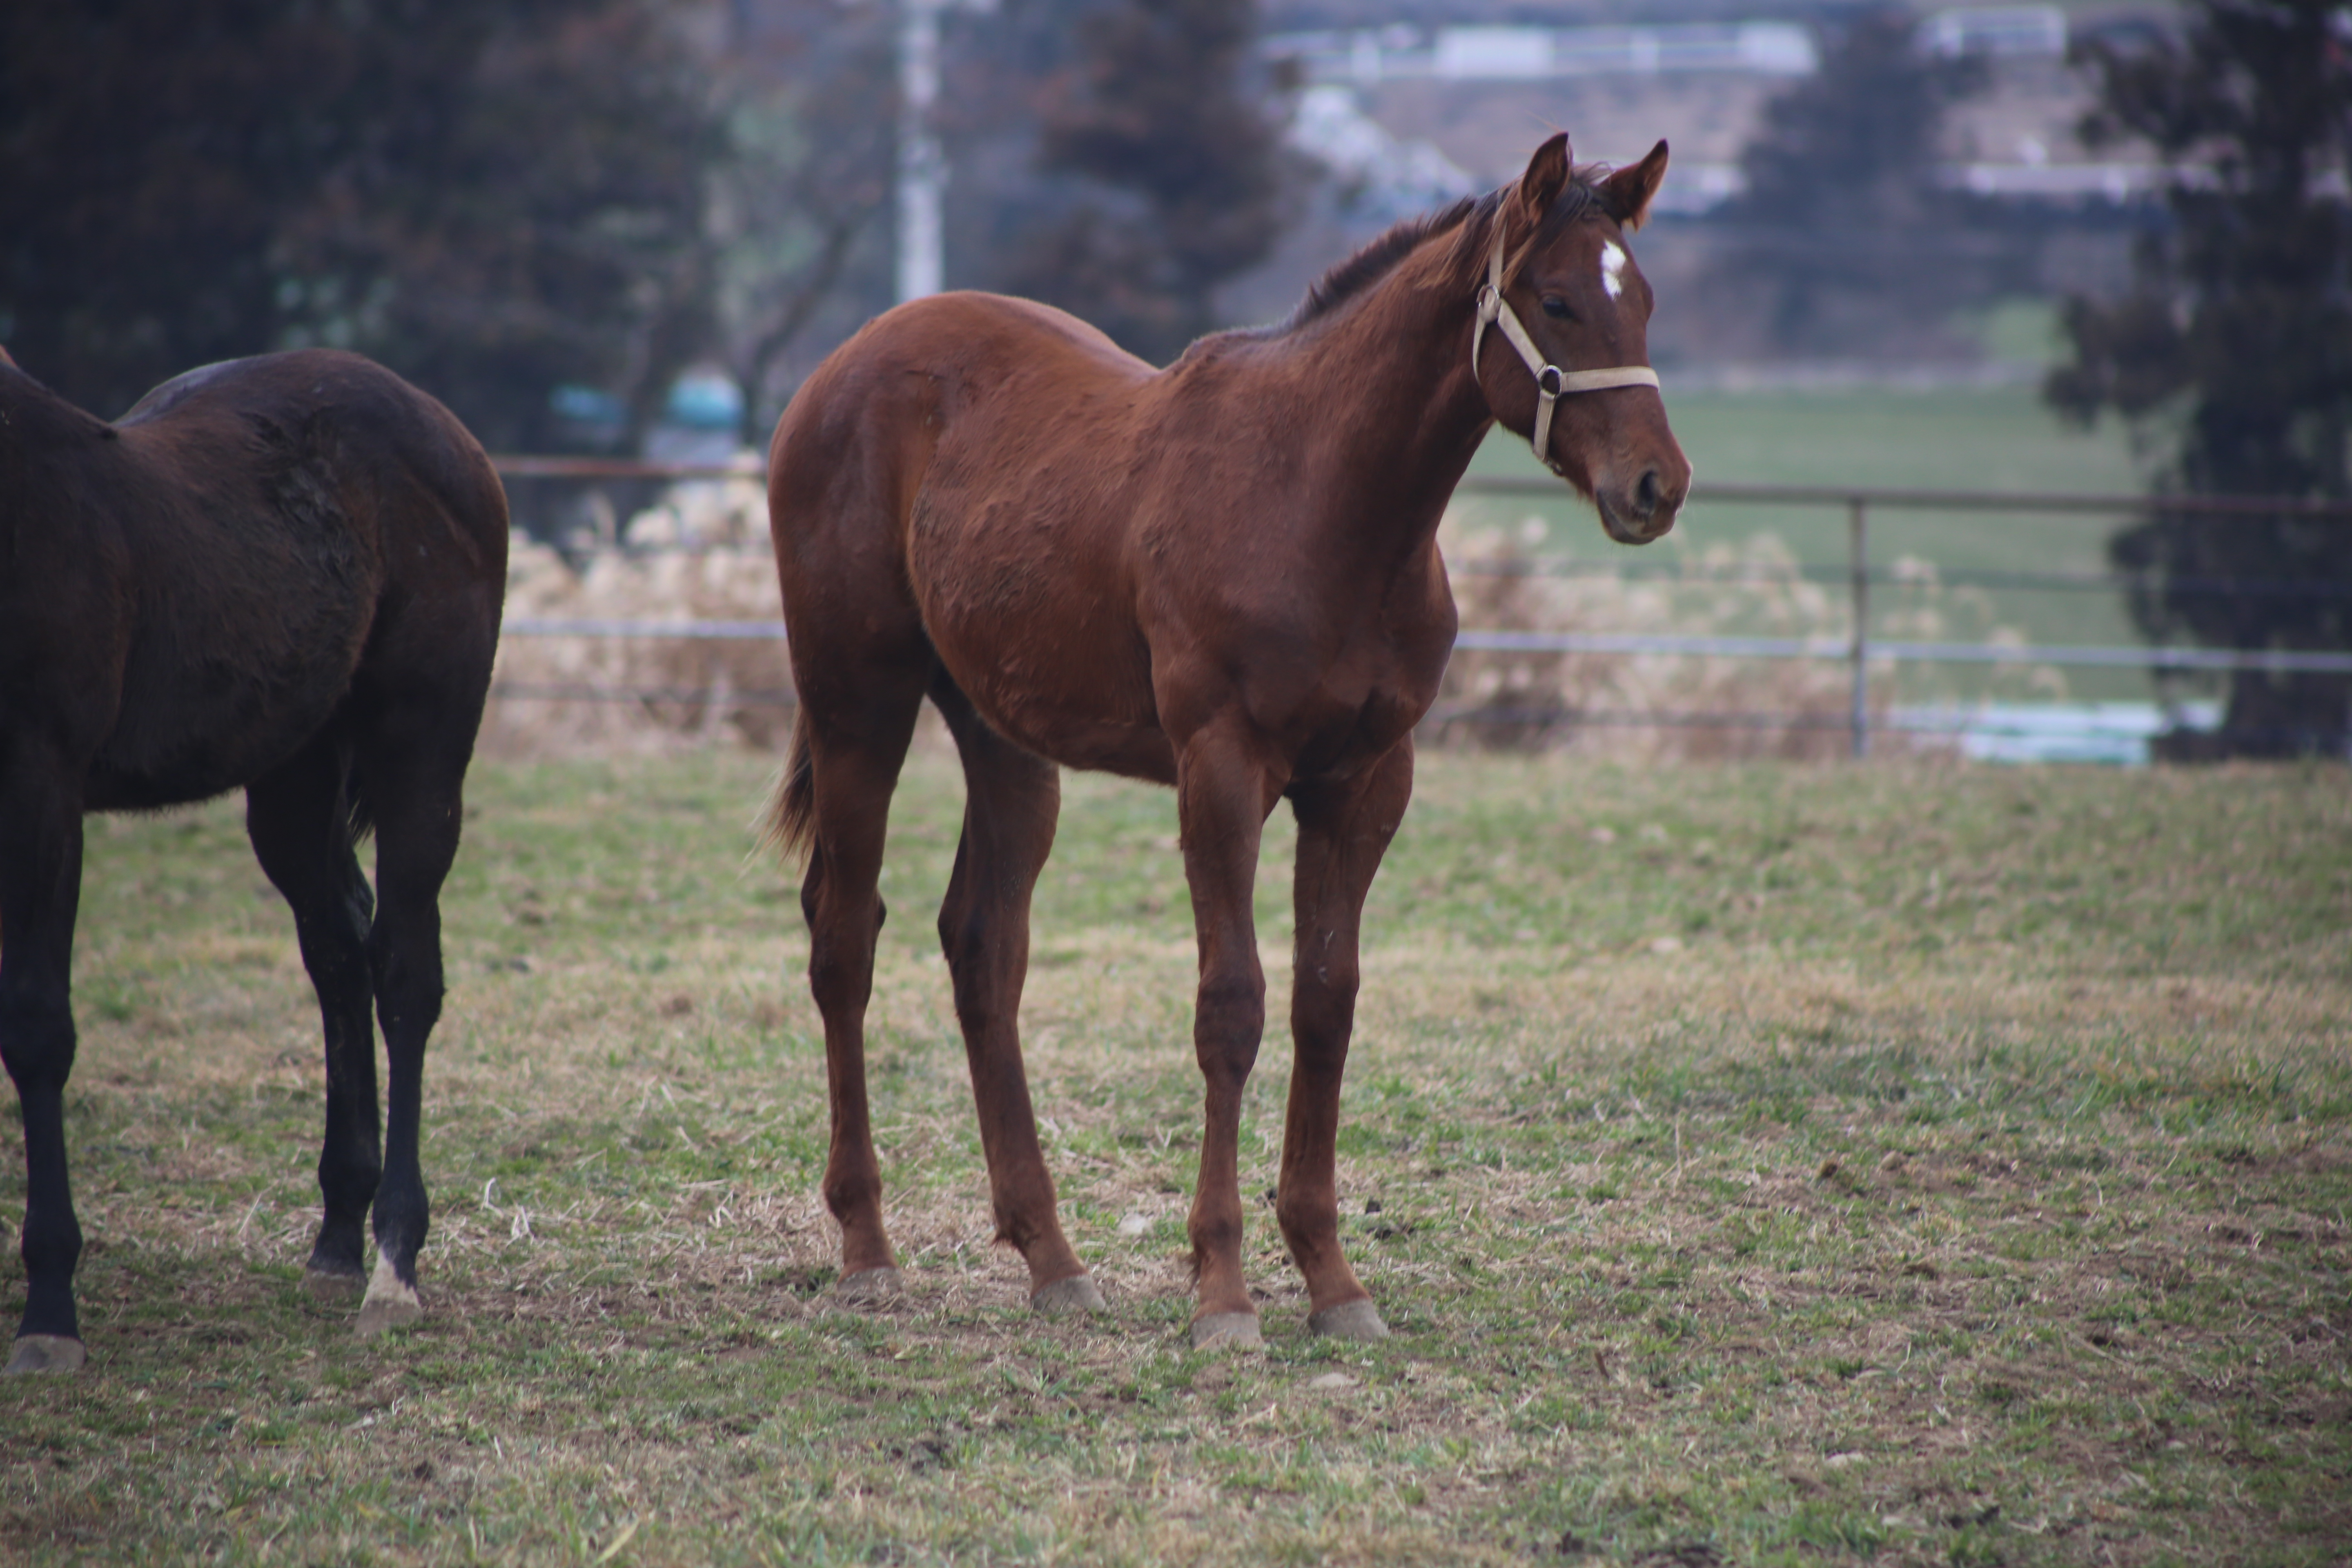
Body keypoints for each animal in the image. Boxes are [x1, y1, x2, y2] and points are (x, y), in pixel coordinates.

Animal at [0, 345, 506, 1373]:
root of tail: (451, 434)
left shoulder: (41, 781)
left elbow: (36, 1028)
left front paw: (51, 1310)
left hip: (420, 756)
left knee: (403, 974)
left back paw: (394, 1261)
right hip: (293, 772)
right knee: (340, 955)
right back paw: (338, 1239)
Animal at [762, 135, 1684, 1354]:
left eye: (1646, 301)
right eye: (1559, 299)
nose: (1656, 486)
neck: (1318, 499)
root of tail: (837, 369)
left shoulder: (1364, 782)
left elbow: (1325, 1003)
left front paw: (1332, 1280)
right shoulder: (1221, 769)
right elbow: (1232, 1006)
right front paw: (1224, 1292)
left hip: (1006, 739)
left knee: (982, 948)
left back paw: (1051, 1257)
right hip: (858, 704)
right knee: (841, 938)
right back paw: (868, 1248)